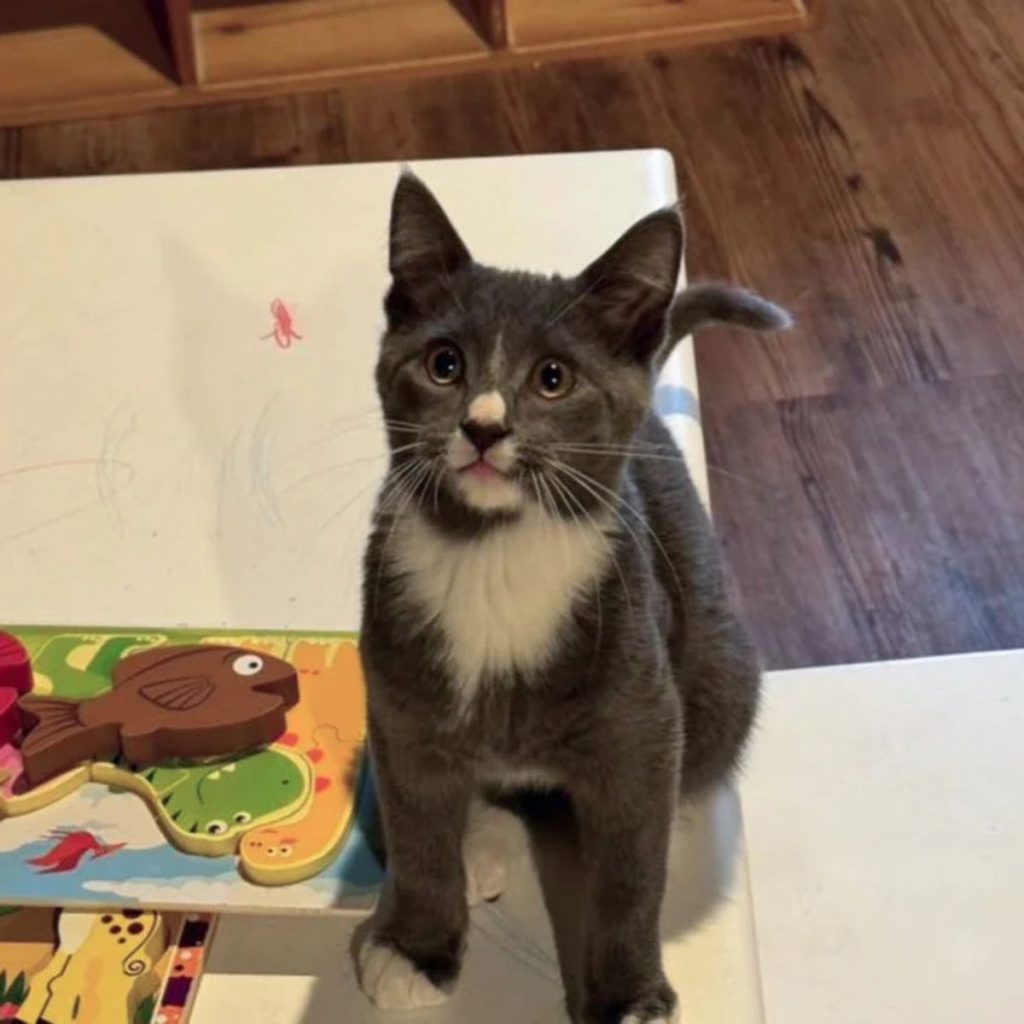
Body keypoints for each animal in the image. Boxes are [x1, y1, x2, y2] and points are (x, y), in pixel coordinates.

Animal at [356, 172, 786, 1019]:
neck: (493, 551)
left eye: (552, 379)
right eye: (444, 364)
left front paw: (630, 994)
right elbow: (417, 827)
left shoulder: (635, 707)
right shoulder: (399, 699)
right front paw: (417, 949)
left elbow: (629, 875)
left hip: (717, 659)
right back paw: (480, 838)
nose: (484, 427)